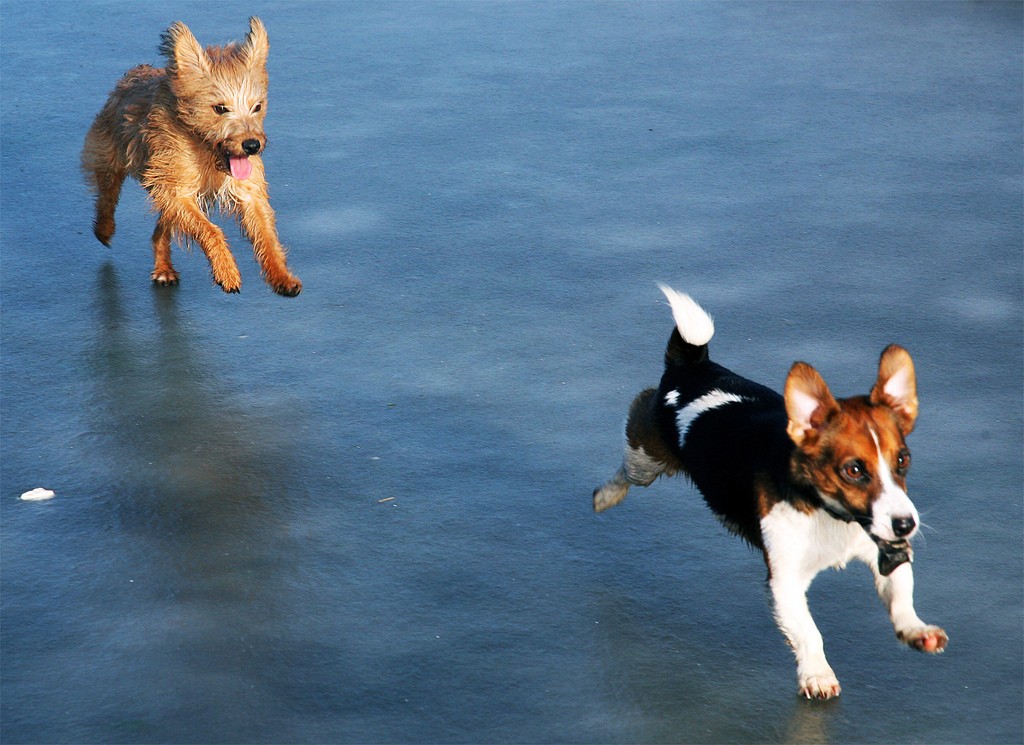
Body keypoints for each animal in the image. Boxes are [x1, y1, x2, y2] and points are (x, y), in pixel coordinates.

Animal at [81, 17, 299, 296]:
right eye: (220, 108)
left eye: (257, 106)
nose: (251, 145)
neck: (207, 152)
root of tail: (134, 73)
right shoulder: (176, 192)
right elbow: (211, 230)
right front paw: (227, 271)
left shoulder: (248, 193)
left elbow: (267, 235)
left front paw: (282, 276)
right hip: (111, 155)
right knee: (107, 195)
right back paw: (104, 229)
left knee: (159, 230)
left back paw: (164, 268)